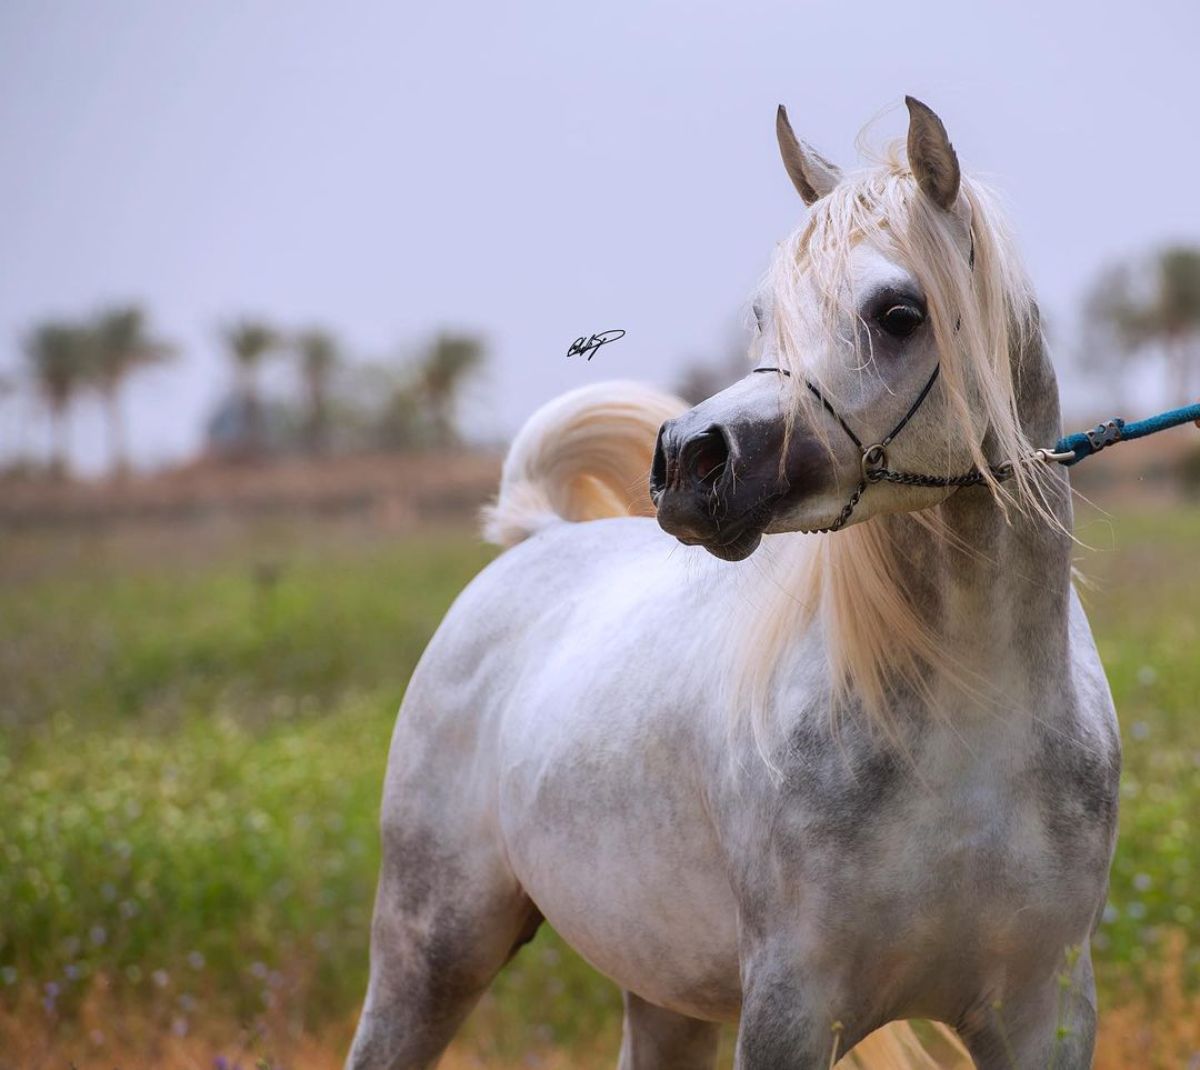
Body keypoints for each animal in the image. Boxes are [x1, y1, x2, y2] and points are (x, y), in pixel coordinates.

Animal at [348, 95, 1123, 1065]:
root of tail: (537, 537)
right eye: (764, 313)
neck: (974, 736)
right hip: (430, 951)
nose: (689, 460)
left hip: (661, 989)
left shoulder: (1042, 1012)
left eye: (900, 313)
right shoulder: (790, 1008)